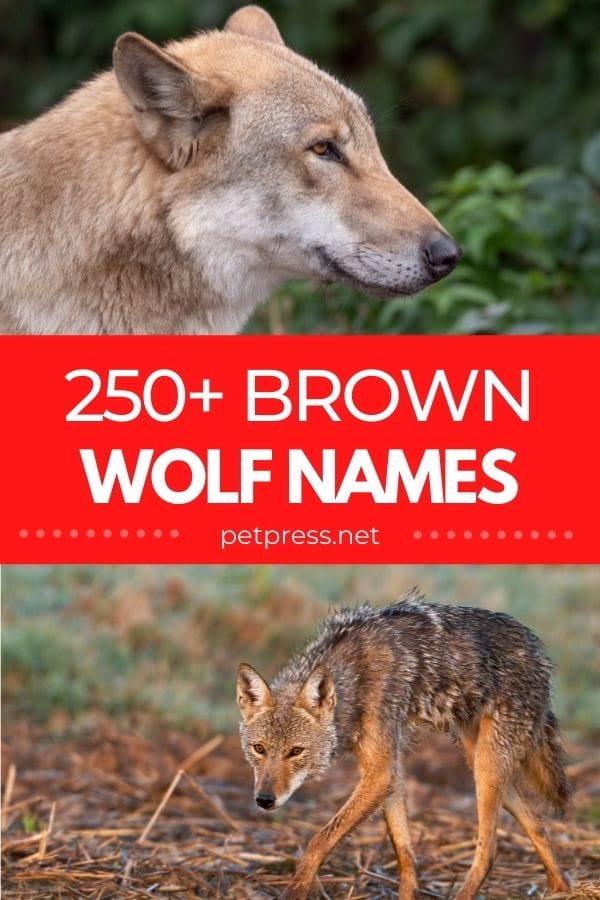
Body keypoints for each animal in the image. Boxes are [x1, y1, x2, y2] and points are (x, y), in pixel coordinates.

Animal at [237, 591, 570, 899]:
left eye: (296, 751)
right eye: (259, 749)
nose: (264, 800)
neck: (355, 680)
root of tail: (539, 651)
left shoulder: (380, 772)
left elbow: (320, 839)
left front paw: (295, 890)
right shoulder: (389, 772)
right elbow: (404, 854)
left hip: (487, 766)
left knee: (489, 847)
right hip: (479, 760)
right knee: (536, 821)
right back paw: (561, 888)